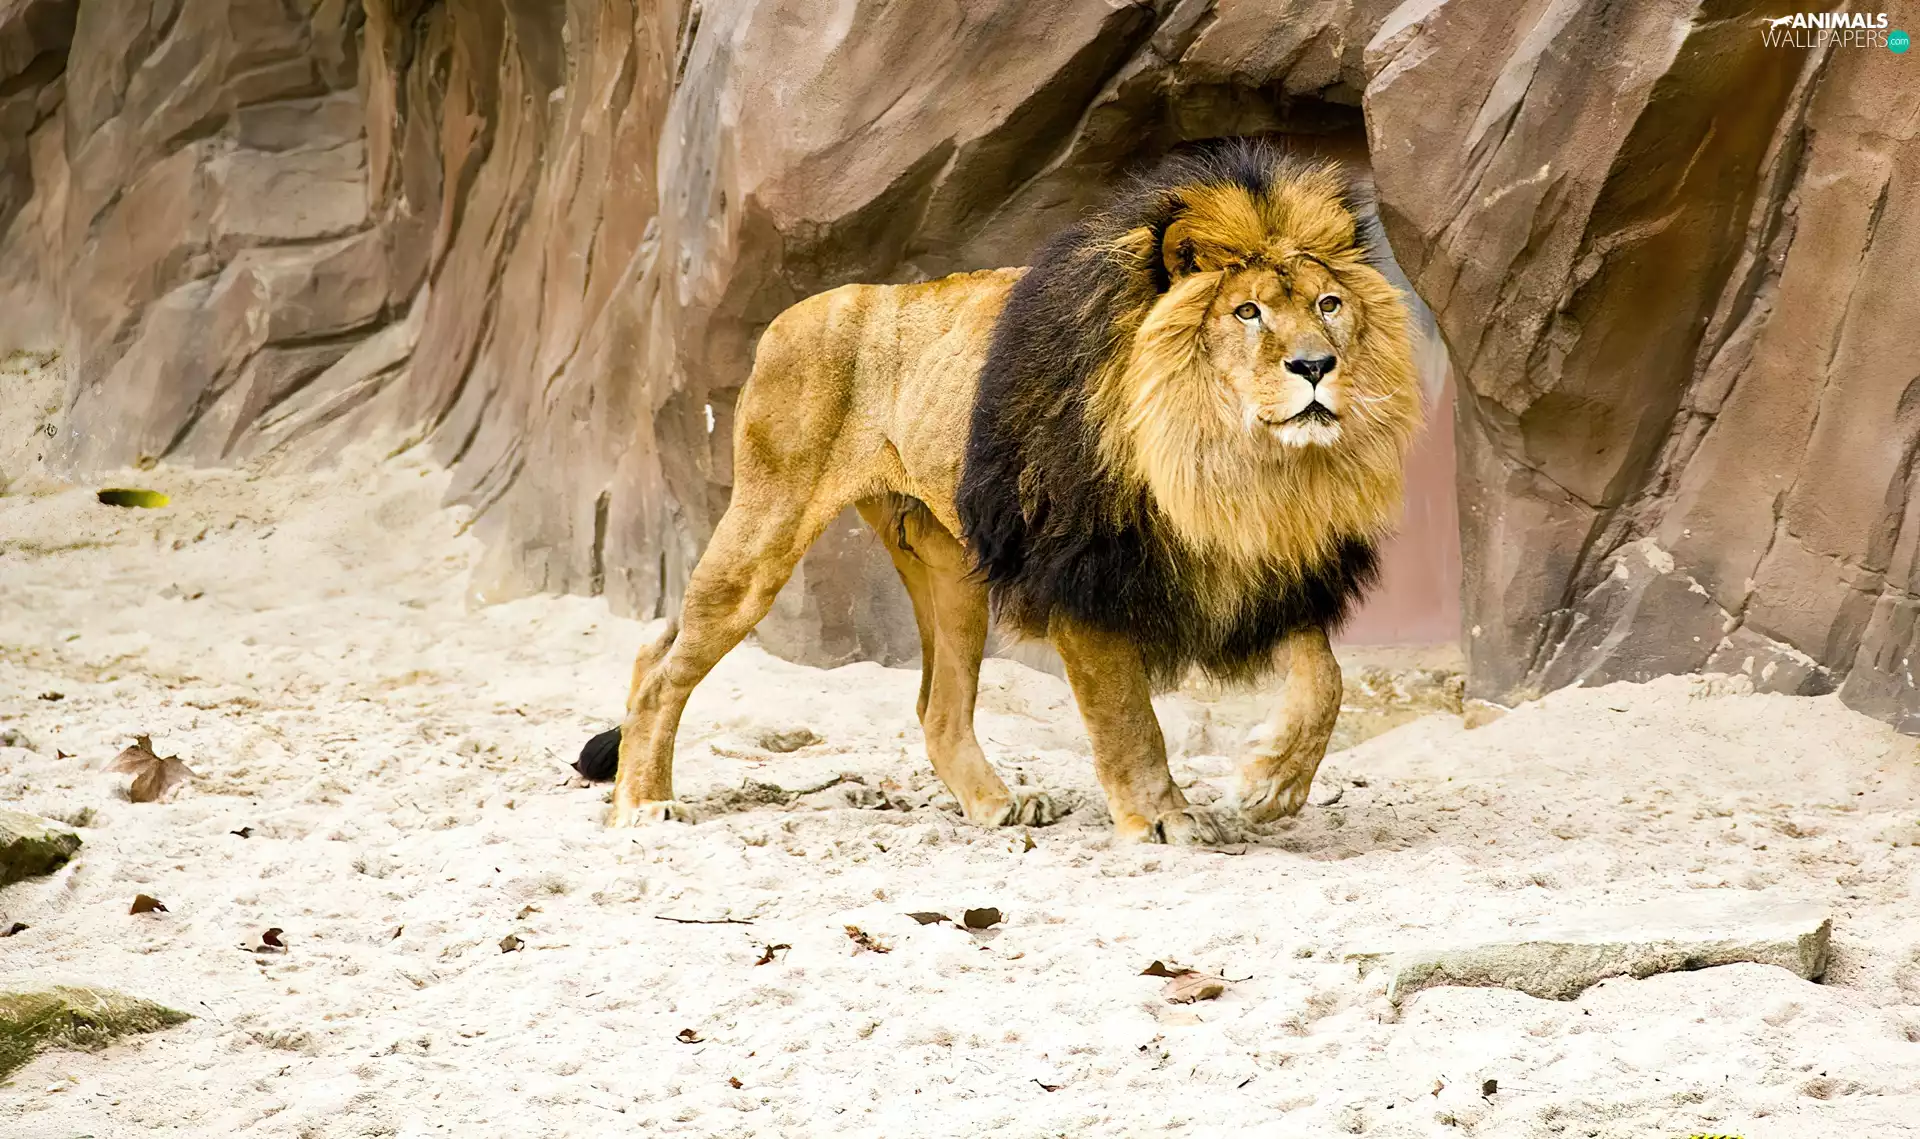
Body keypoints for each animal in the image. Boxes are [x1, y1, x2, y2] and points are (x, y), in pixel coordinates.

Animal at [580, 139, 1423, 843]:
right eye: (1247, 311)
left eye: (1327, 303)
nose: (1315, 365)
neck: (1226, 461)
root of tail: (795, 312)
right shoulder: (1080, 569)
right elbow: (1128, 716)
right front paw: (1162, 818)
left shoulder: (1264, 562)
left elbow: (1326, 680)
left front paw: (1272, 785)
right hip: (767, 528)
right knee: (659, 665)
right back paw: (643, 800)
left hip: (949, 569)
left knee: (936, 709)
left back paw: (997, 804)